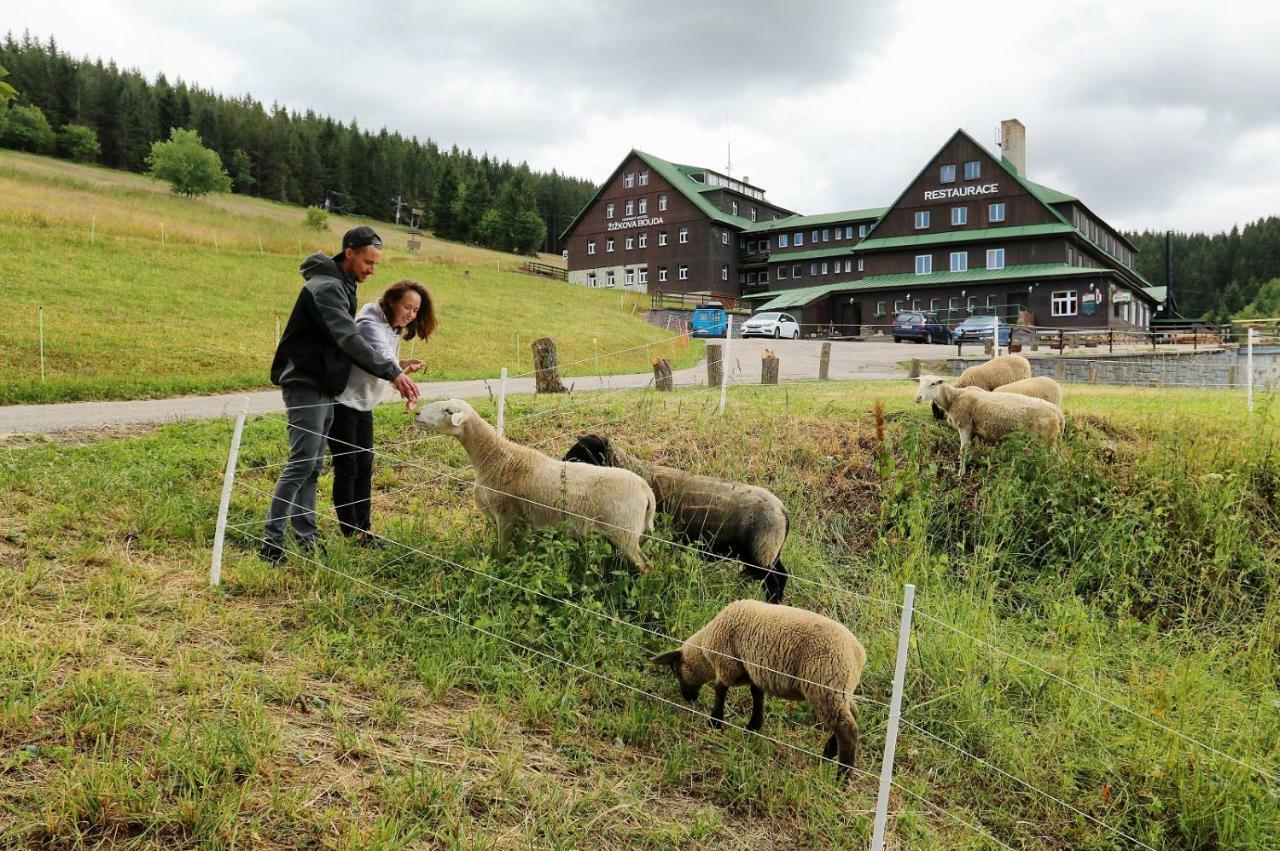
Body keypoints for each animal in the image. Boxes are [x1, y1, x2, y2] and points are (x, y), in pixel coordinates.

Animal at [414, 399, 655, 570]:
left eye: (448, 410)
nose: (416, 412)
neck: (495, 457)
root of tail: (646, 490)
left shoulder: (506, 514)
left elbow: (502, 550)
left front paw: (500, 567)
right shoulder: (520, 519)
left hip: (624, 533)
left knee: (646, 566)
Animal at [563, 435, 788, 601]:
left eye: (582, 452)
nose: (563, 470)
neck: (634, 470)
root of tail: (783, 510)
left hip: (760, 552)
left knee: (773, 581)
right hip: (768, 551)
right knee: (782, 575)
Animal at [650, 593, 870, 778]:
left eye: (675, 670)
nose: (688, 698)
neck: (706, 650)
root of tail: (857, 652)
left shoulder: (727, 664)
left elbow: (720, 690)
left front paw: (715, 722)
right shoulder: (751, 671)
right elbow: (756, 694)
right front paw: (753, 726)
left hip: (824, 686)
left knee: (847, 728)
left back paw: (842, 778)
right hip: (841, 689)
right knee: (852, 715)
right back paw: (829, 753)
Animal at [916, 376, 1064, 473]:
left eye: (933, 384)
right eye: (920, 383)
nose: (917, 398)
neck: (954, 399)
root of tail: (1058, 412)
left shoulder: (964, 425)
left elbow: (963, 451)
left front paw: (961, 474)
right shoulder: (972, 430)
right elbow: (968, 450)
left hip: (1046, 439)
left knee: (1052, 459)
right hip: (1051, 440)